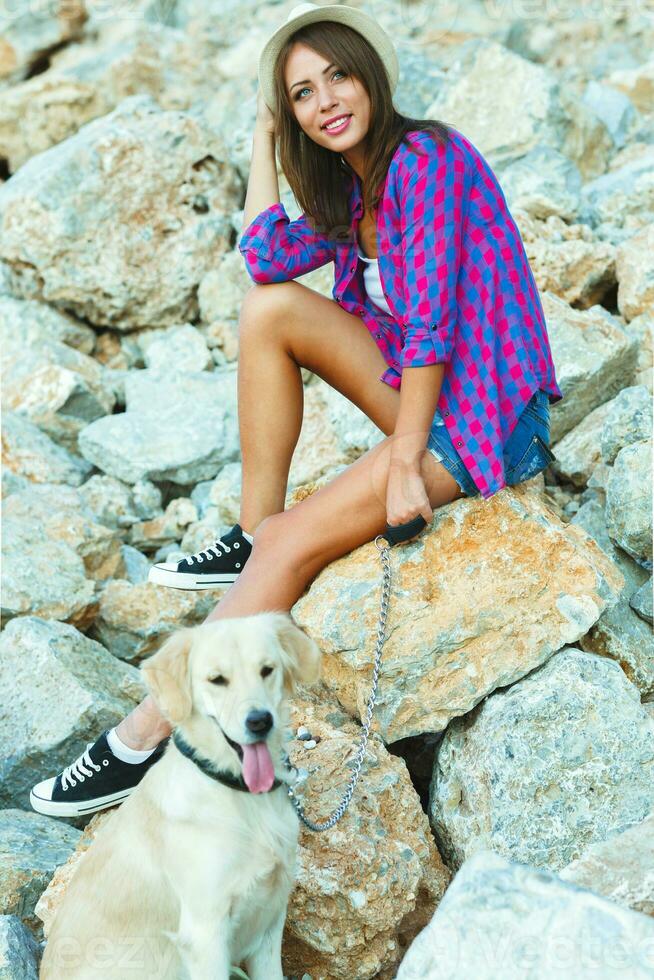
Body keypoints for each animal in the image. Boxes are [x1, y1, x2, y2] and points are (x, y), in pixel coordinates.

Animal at [41, 612, 322, 980]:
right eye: (217, 679)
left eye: (267, 670)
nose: (260, 721)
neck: (240, 795)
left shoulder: (269, 924)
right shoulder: (205, 932)